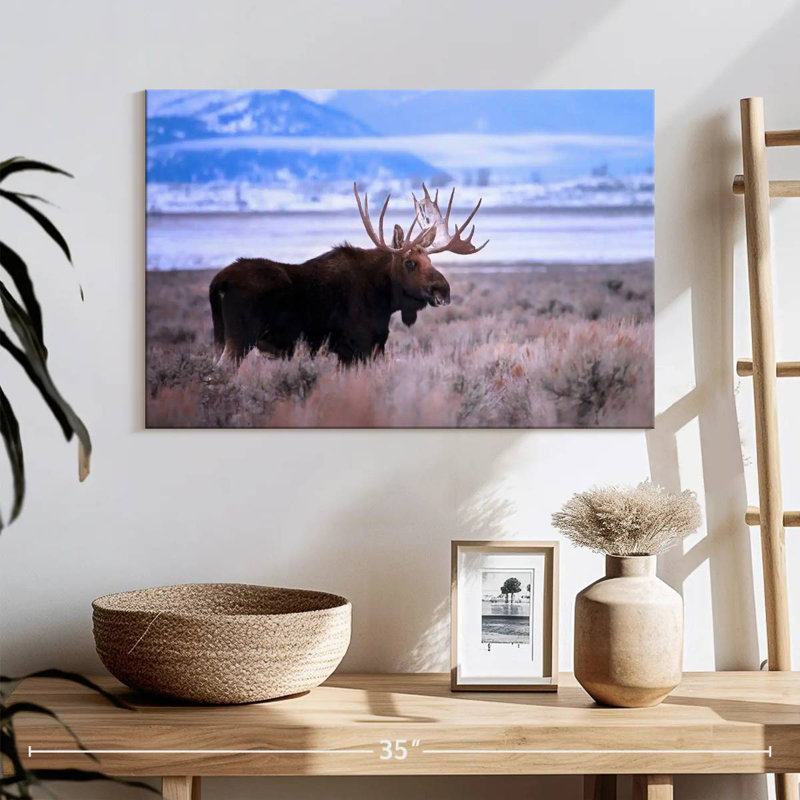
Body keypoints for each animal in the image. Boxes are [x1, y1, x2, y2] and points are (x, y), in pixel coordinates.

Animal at [209, 183, 488, 365]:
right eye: (410, 262)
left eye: (430, 259)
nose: (444, 290)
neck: (385, 299)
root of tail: (219, 282)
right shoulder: (359, 345)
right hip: (240, 339)